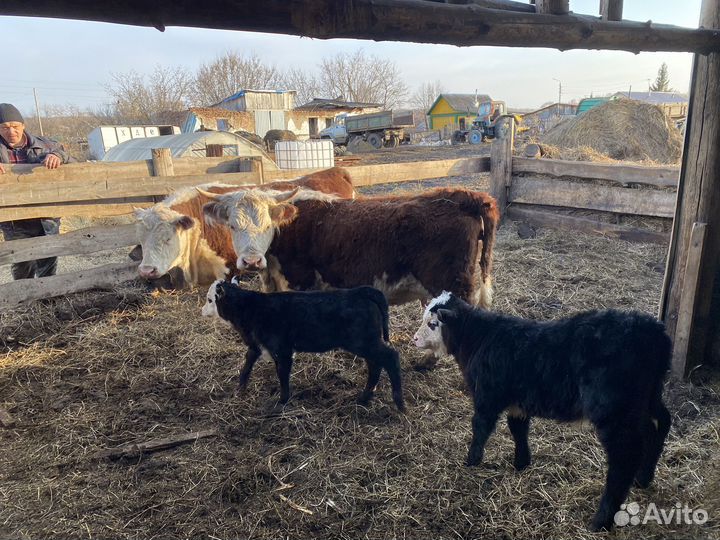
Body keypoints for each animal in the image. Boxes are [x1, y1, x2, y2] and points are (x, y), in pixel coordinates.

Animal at [199, 187, 499, 308]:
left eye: (266, 225)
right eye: (232, 226)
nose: (251, 261)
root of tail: (466, 197)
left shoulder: (301, 281)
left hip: (453, 282)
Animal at [201, 280, 405, 411]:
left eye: (210, 300)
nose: (202, 310)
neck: (251, 307)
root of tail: (360, 291)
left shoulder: (282, 350)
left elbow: (282, 374)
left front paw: (281, 401)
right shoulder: (256, 346)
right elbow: (246, 366)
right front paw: (239, 390)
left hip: (363, 342)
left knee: (390, 357)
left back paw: (399, 403)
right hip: (366, 344)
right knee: (375, 365)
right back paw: (364, 398)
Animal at [412, 292, 672, 532]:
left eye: (432, 323)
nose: (414, 339)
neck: (479, 338)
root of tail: (653, 332)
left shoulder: (487, 396)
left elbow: (481, 428)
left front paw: (471, 461)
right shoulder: (518, 402)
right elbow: (518, 428)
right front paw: (521, 463)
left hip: (612, 410)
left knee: (624, 456)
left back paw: (602, 520)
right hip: (647, 398)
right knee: (659, 426)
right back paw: (643, 478)